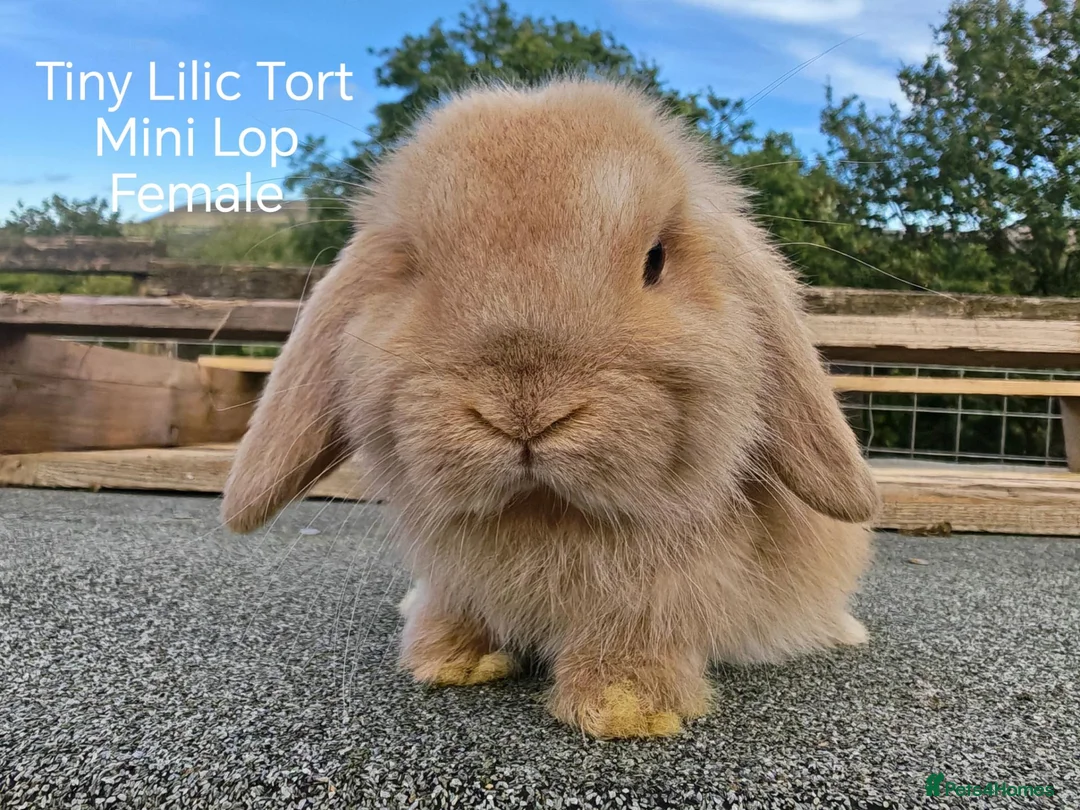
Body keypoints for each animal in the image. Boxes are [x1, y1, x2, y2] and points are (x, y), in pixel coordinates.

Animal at [221, 77, 880, 740]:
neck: (544, 517)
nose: (525, 412)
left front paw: (627, 705)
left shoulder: (656, 596)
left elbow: (640, 628)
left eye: (656, 259)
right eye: (410, 266)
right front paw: (450, 660)